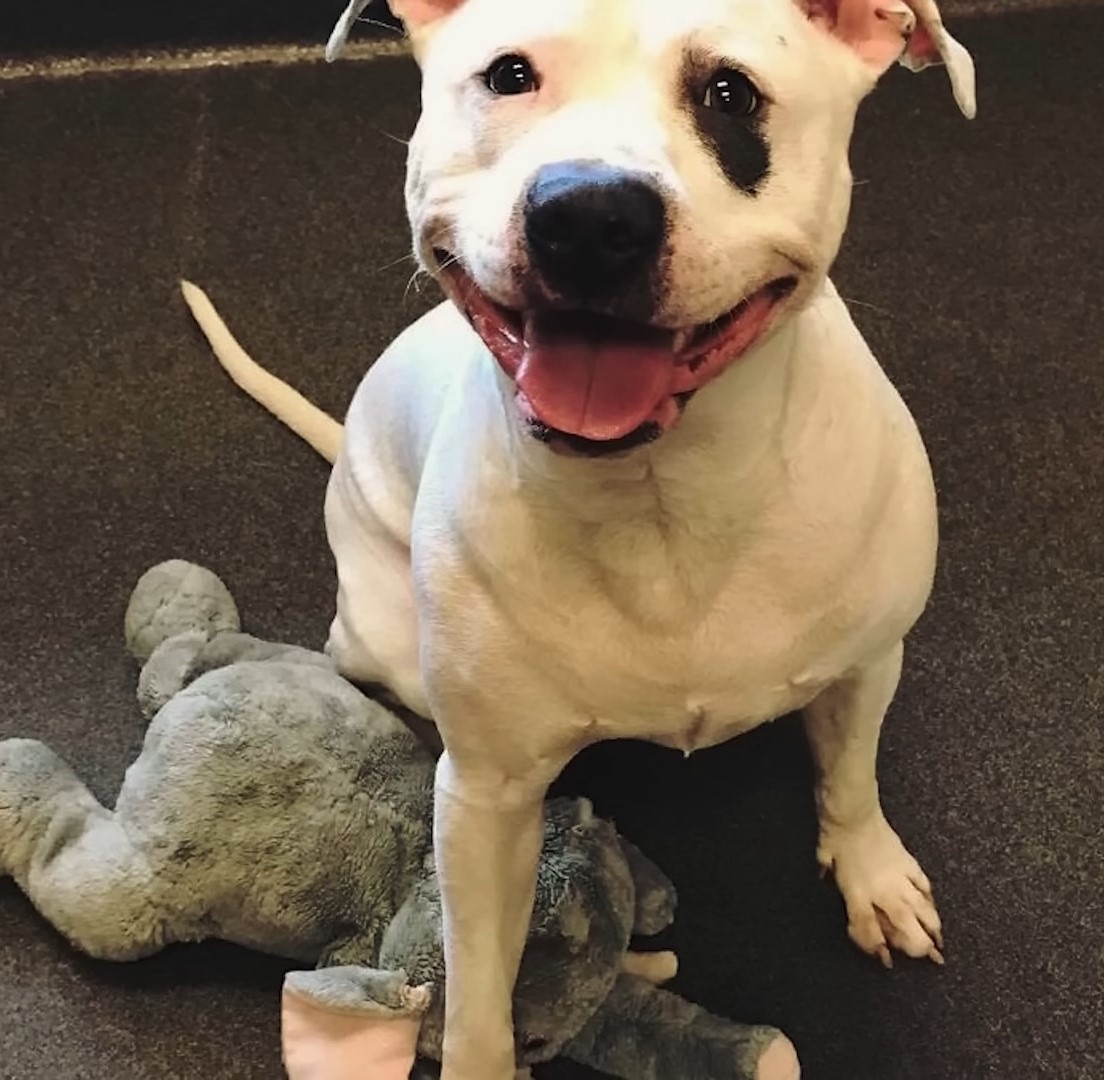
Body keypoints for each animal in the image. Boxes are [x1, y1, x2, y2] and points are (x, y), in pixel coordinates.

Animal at [181, 4, 975, 1073]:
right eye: (509, 75)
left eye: (731, 93)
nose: (591, 217)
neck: (661, 497)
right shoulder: (486, 799)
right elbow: (477, 990)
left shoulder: (869, 660)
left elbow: (850, 774)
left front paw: (871, 872)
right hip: (390, 646)